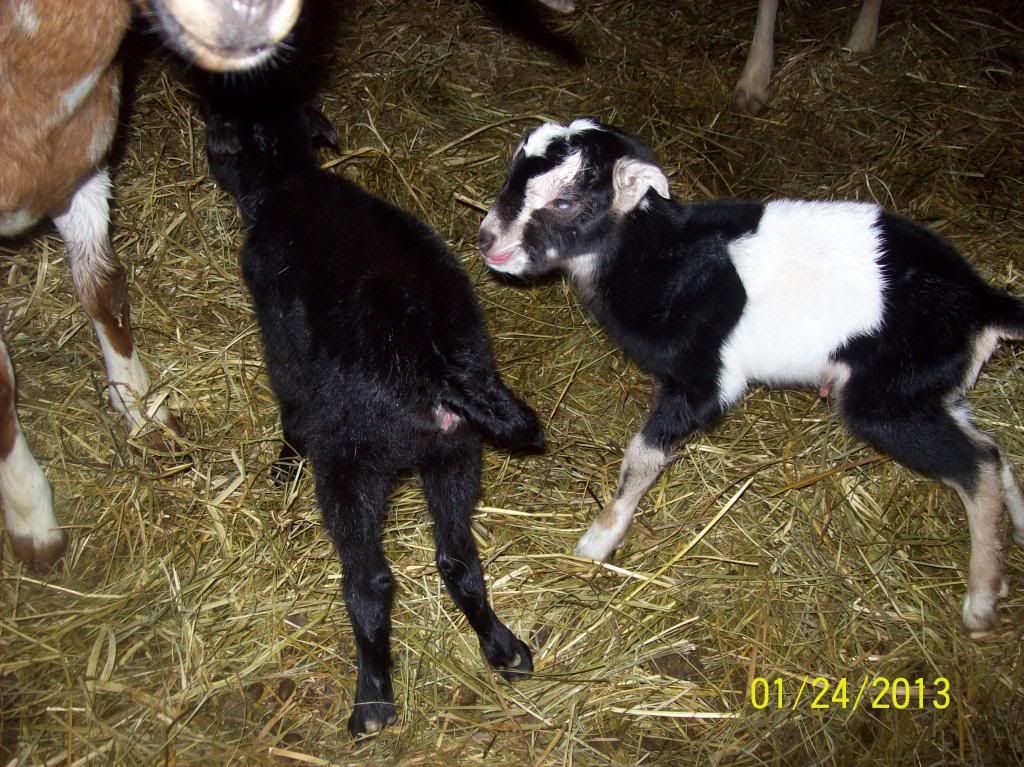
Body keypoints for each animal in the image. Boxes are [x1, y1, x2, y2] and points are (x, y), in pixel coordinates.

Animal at [203, 100, 544, 736]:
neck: (289, 181)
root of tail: (436, 365)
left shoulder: (282, 343)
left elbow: (290, 409)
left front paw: (283, 464)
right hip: (455, 454)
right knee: (458, 559)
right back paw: (503, 650)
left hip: (351, 465)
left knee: (369, 581)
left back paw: (372, 703)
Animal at [478, 117, 1024, 634]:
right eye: (511, 175)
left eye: (564, 201)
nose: (487, 240)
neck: (660, 259)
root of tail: (981, 303)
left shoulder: (704, 379)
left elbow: (642, 456)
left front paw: (600, 537)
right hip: (930, 386)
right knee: (992, 449)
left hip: (888, 398)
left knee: (975, 466)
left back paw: (981, 598)